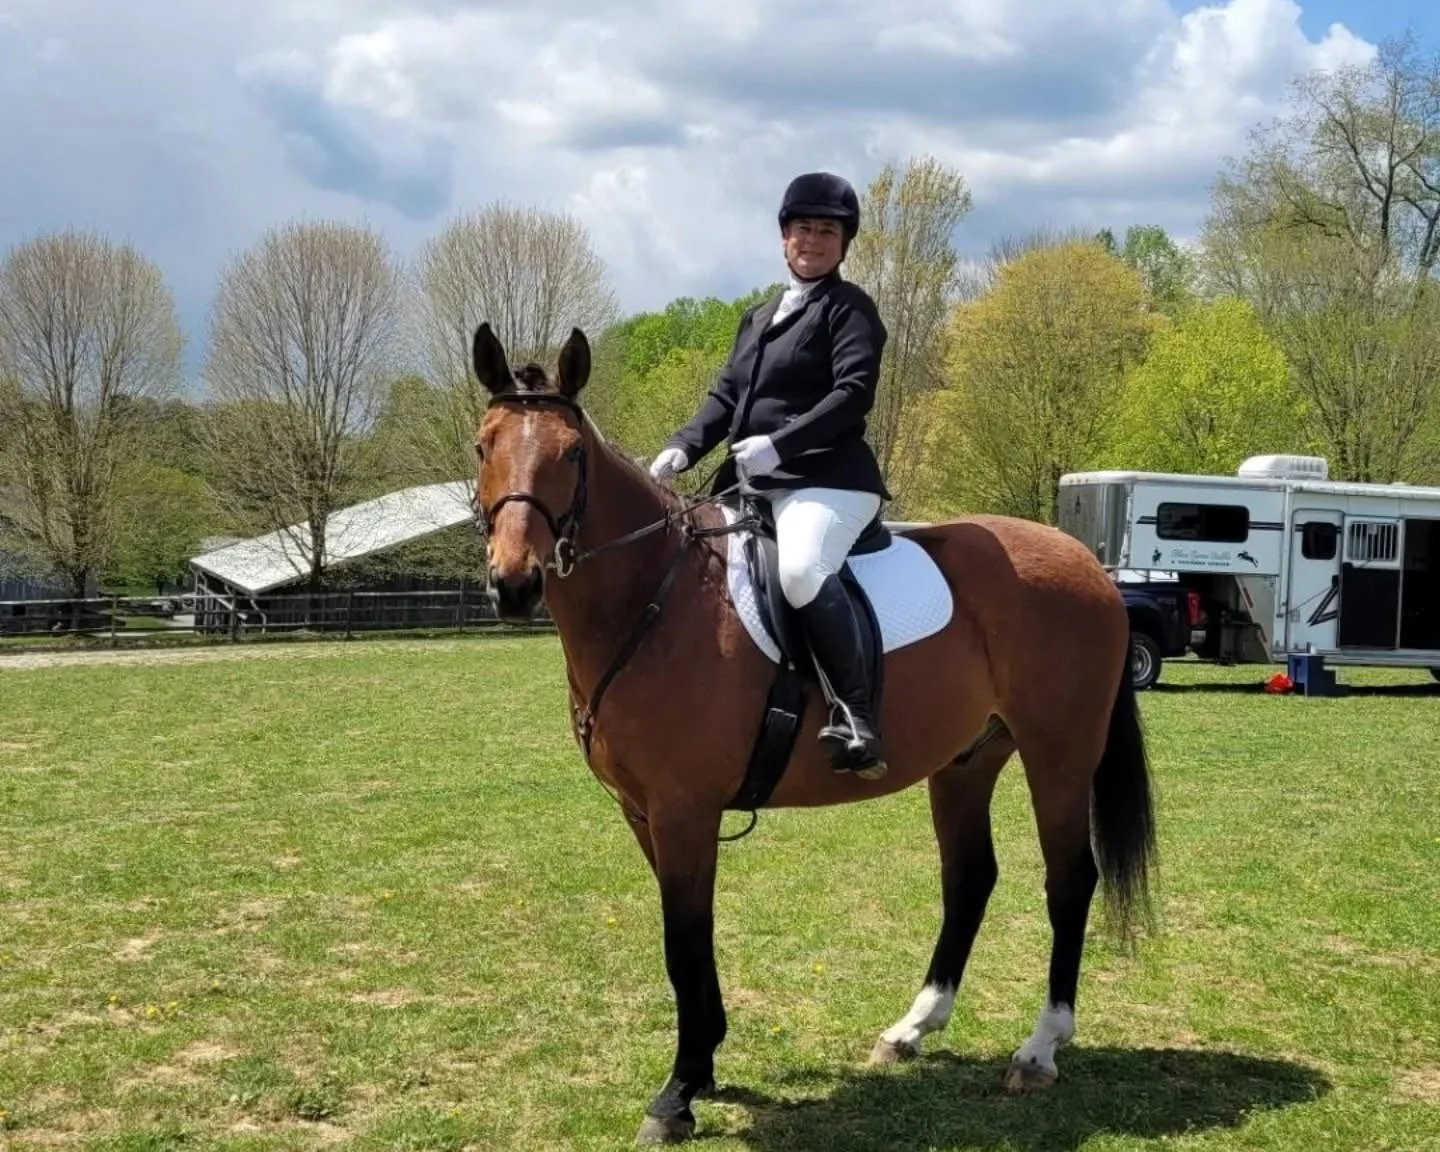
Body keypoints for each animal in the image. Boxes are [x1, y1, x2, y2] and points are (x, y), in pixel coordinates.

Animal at [470, 321, 1158, 1146]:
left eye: (572, 454)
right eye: (483, 445)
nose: (515, 583)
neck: (654, 595)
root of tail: (1084, 561)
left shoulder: (683, 811)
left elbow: (682, 941)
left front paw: (677, 1093)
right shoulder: (644, 814)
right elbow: (692, 942)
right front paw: (703, 1065)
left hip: (1059, 754)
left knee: (1070, 879)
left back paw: (1040, 1048)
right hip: (966, 762)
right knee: (970, 878)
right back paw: (914, 1027)